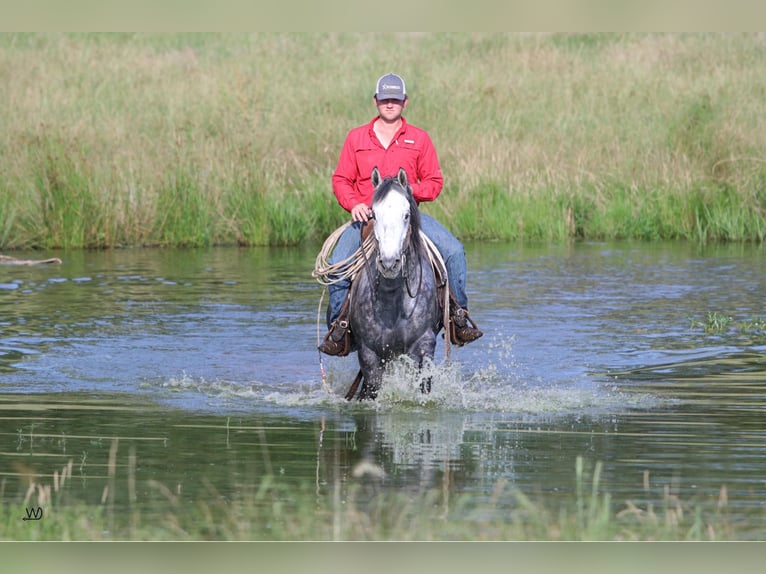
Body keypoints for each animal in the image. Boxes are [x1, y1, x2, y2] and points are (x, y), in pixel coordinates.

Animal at [346, 166, 440, 400]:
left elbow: (423, 384)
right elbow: (371, 389)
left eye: (406, 215)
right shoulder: (368, 352)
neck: (393, 295)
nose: (389, 263)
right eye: (374, 214)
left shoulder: (424, 345)